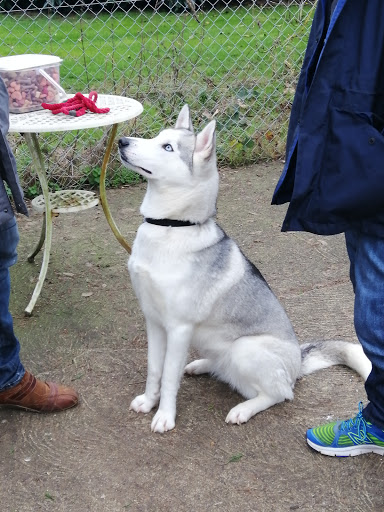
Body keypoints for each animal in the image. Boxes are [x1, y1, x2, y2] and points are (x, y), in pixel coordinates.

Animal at [118, 106, 372, 434]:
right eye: (157, 138)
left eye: (168, 147)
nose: (122, 141)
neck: (172, 227)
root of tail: (298, 362)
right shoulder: (155, 323)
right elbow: (154, 370)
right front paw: (149, 402)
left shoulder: (178, 328)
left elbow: (169, 378)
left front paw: (165, 415)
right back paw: (203, 365)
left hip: (245, 349)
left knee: (279, 393)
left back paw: (244, 409)